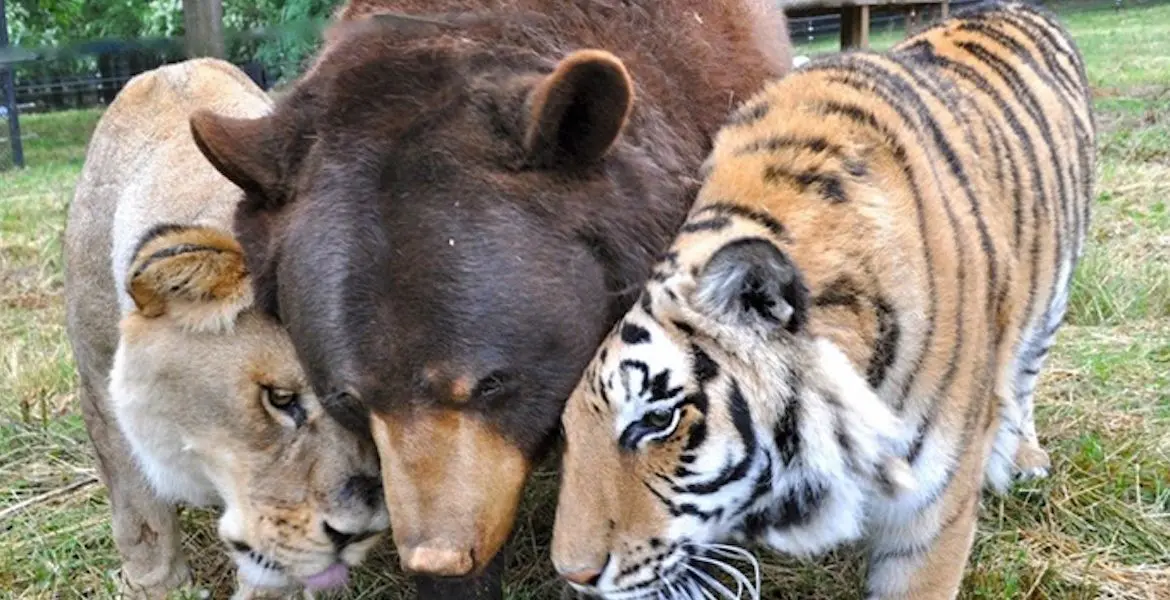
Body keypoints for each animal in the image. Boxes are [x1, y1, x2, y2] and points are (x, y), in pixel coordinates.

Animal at [549, 3, 1095, 599]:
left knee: (1024, 377)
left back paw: (1023, 456)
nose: (572, 574)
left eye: (657, 420)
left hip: (1052, 298)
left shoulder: (933, 508)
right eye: (568, 431)